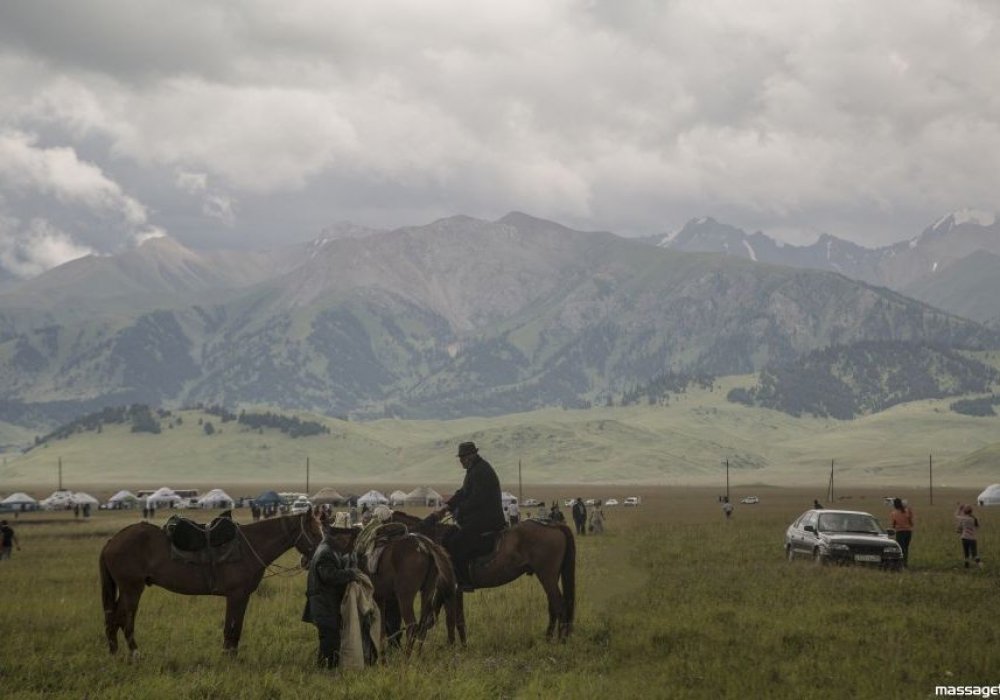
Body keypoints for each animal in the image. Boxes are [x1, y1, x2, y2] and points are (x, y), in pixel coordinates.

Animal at [100, 508, 322, 656]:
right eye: (314, 532)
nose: (308, 561)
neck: (249, 546)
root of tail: (112, 541)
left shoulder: (242, 597)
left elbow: (236, 627)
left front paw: (231, 654)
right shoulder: (236, 595)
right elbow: (231, 627)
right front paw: (229, 655)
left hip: (127, 590)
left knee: (114, 619)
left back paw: (115, 652)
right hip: (132, 589)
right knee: (124, 620)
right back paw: (134, 653)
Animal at [320, 524, 458, 656]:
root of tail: (424, 545)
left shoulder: (376, 598)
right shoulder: (380, 598)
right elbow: (381, 630)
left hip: (405, 596)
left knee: (412, 626)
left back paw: (406, 658)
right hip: (427, 592)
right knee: (423, 626)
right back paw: (417, 656)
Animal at [390, 512, 580, 644]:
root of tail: (555, 525)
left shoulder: (450, 589)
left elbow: (451, 619)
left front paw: (452, 646)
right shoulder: (453, 590)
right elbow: (456, 618)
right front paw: (462, 645)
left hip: (547, 576)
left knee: (560, 605)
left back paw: (561, 641)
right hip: (549, 577)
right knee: (554, 606)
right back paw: (549, 638)